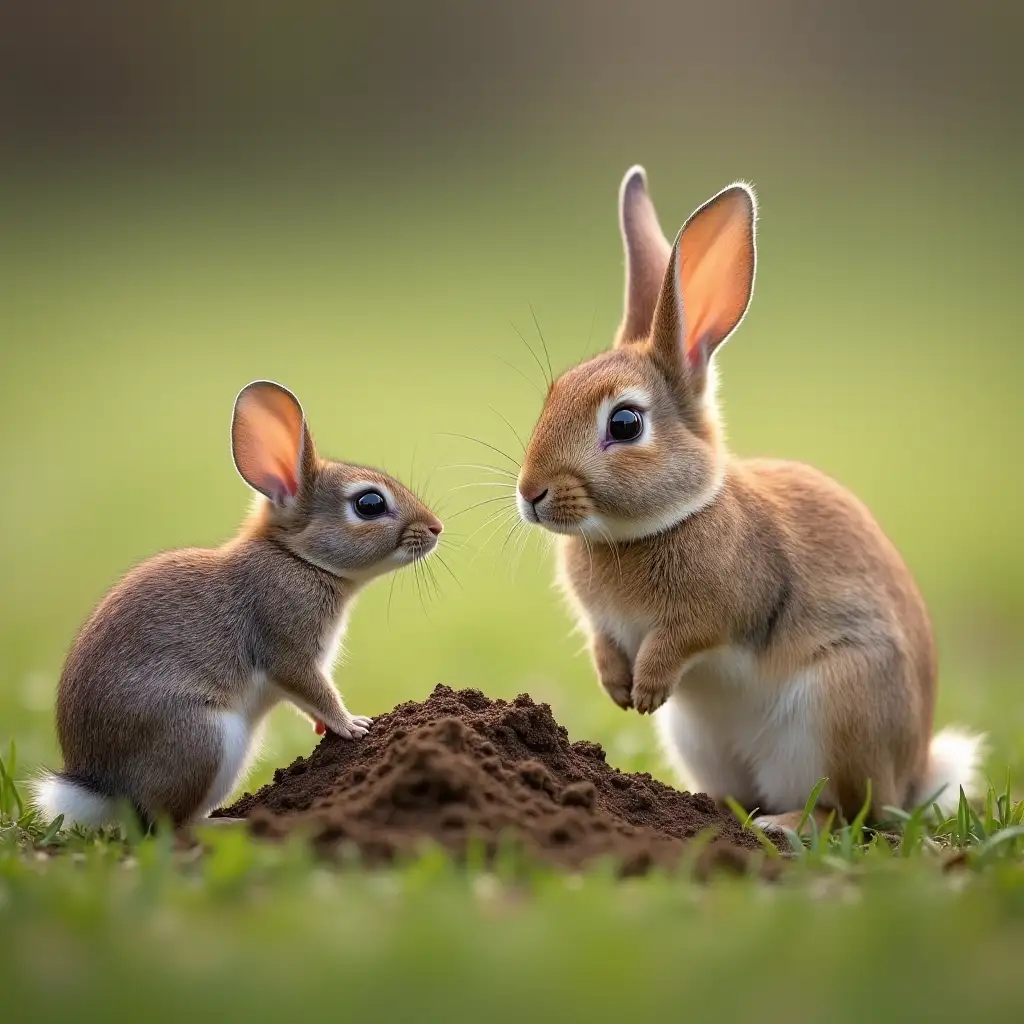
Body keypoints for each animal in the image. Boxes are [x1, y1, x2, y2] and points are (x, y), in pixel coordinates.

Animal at [30, 380, 440, 827]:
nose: (436, 528)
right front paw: (353, 726)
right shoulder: (288, 650)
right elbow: (313, 688)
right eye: (369, 504)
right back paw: (233, 823)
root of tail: (103, 789)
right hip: (208, 740)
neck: (298, 558)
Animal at [516, 161, 987, 831]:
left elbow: (684, 638)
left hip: (837, 709)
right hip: (700, 741)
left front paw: (646, 689)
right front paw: (617, 687)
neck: (664, 519)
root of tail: (912, 774)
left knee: (849, 813)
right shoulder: (602, 622)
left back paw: (781, 827)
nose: (530, 493)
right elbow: (605, 643)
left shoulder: (719, 611)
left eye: (626, 424)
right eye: (553, 393)